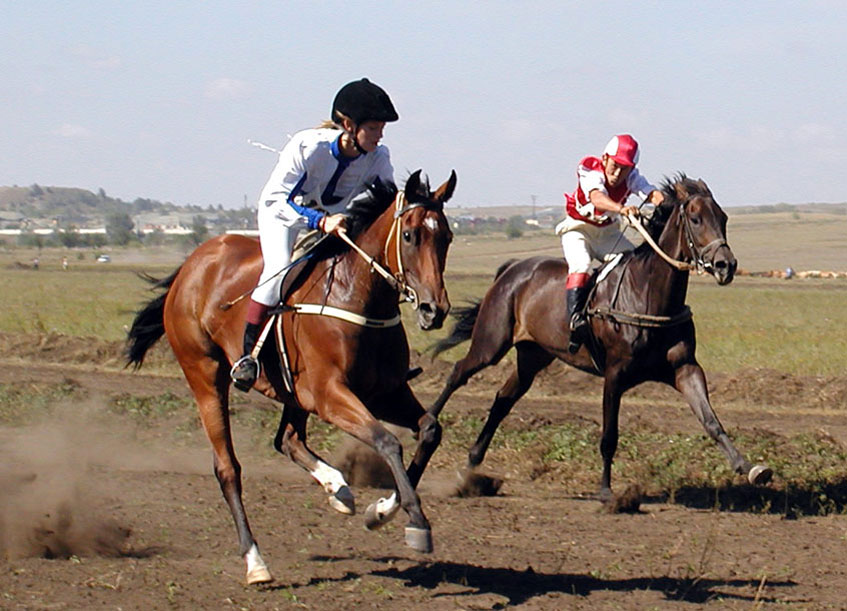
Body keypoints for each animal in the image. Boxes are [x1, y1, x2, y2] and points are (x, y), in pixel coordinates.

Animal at [126, 170, 458, 584]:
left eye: (447, 236)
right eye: (410, 235)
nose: (434, 310)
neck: (357, 295)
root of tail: (190, 265)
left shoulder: (386, 391)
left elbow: (430, 430)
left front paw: (381, 509)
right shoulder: (330, 394)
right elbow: (386, 442)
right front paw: (414, 521)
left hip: (293, 393)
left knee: (287, 440)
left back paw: (338, 488)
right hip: (205, 375)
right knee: (228, 468)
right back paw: (255, 561)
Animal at [434, 175, 772, 504]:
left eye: (723, 217)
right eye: (695, 218)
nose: (726, 265)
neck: (649, 296)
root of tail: (512, 268)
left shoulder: (685, 368)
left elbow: (711, 421)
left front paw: (750, 467)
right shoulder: (614, 374)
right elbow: (609, 435)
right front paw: (607, 491)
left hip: (532, 356)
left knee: (503, 399)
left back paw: (472, 465)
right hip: (491, 343)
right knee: (458, 372)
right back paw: (430, 423)